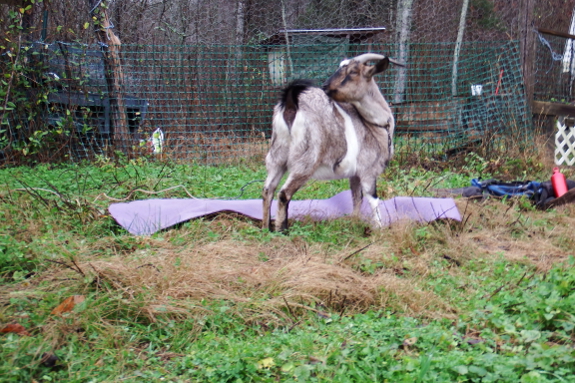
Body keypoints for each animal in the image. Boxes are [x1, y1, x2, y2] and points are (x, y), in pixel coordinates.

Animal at [264, 52, 402, 232]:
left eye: (353, 71)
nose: (325, 86)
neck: (375, 125)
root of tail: (290, 103)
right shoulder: (368, 170)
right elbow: (372, 199)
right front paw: (379, 228)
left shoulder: (355, 174)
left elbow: (356, 198)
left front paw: (355, 221)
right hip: (305, 160)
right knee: (283, 193)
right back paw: (281, 230)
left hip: (277, 156)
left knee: (268, 190)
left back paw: (264, 227)